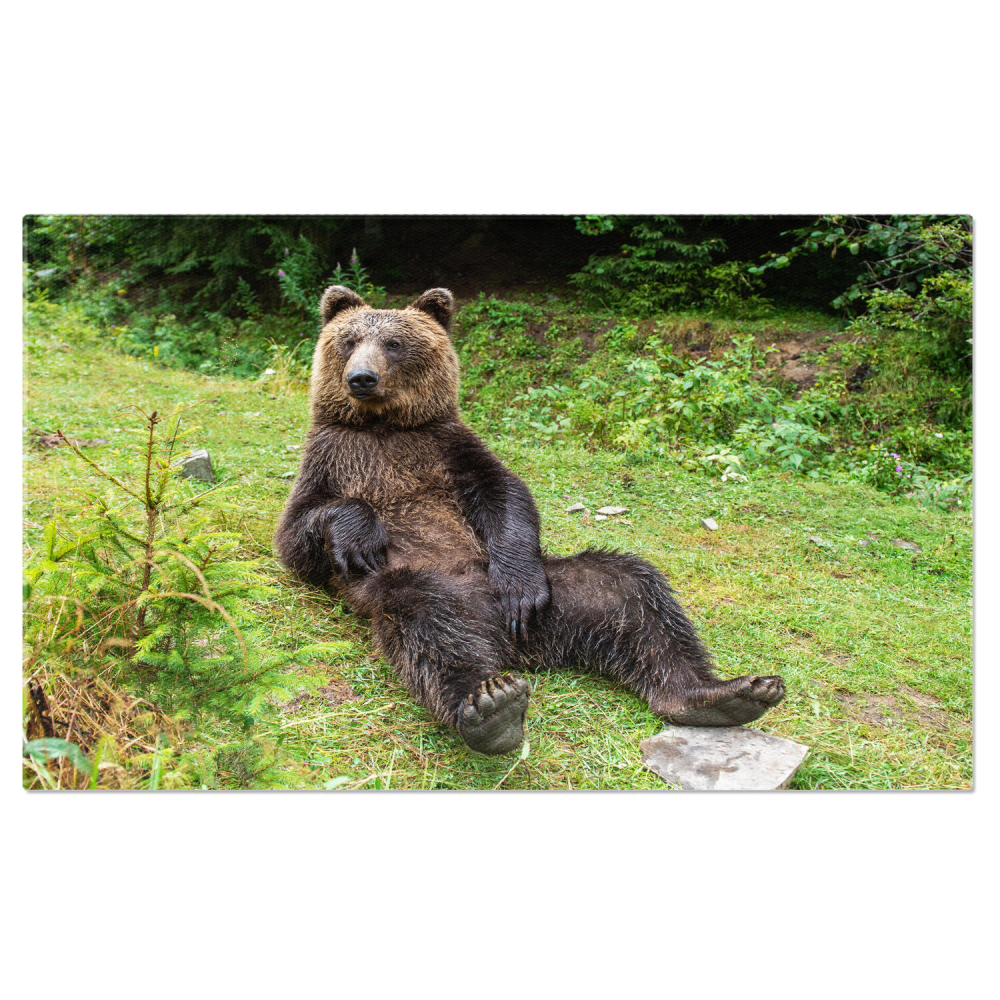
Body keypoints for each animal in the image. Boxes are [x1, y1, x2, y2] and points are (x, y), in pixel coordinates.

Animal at [276, 285, 786, 756]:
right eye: (349, 340)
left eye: (394, 343)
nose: (361, 378)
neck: (385, 427)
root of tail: (523, 646)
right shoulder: (336, 457)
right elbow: (298, 535)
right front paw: (359, 536)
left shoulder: (448, 447)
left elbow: (506, 495)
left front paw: (518, 586)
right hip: (417, 587)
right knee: (436, 632)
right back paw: (491, 705)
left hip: (568, 591)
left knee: (637, 596)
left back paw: (722, 693)